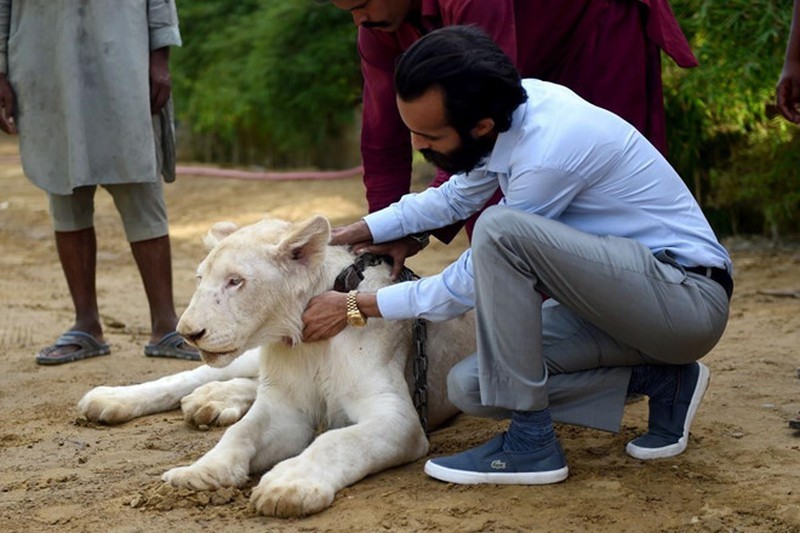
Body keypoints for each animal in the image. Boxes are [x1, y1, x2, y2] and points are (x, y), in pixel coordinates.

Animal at [77, 215, 472, 516]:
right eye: (200, 279)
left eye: (235, 281)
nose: (188, 333)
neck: (302, 342)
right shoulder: (285, 408)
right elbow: (241, 433)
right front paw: (201, 472)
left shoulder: (399, 418)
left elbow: (336, 441)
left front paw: (288, 486)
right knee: (200, 375)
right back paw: (112, 399)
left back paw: (210, 401)